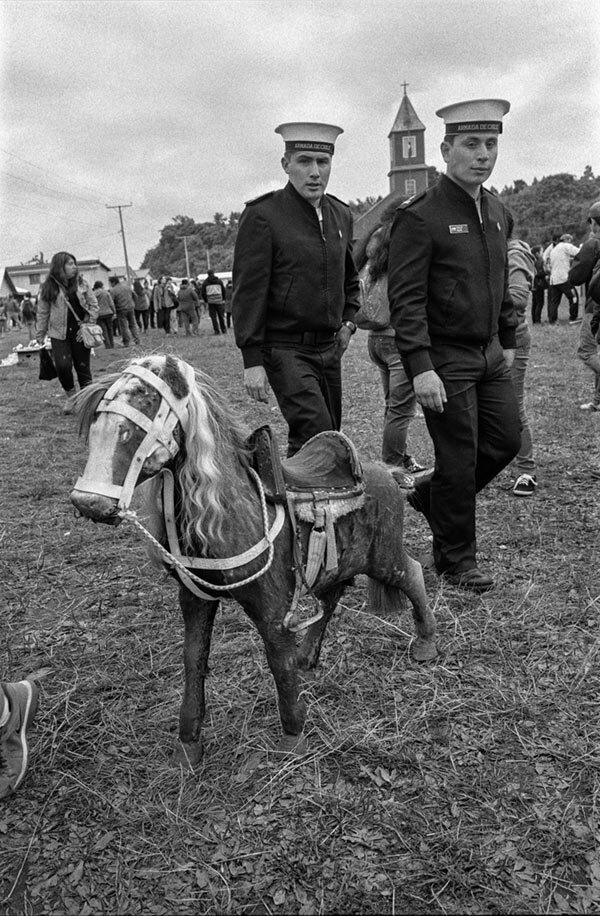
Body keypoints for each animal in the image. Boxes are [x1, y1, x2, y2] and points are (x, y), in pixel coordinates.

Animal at [70, 354, 436, 764]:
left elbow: (277, 661)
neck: (231, 514)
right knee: (332, 594)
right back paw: (307, 657)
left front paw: (293, 737)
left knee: (412, 574)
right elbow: (193, 659)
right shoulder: (195, 599)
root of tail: (388, 473)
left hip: (384, 556)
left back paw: (425, 644)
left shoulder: (271, 607)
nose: (89, 502)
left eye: (147, 405)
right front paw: (189, 745)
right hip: (338, 561)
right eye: (98, 418)